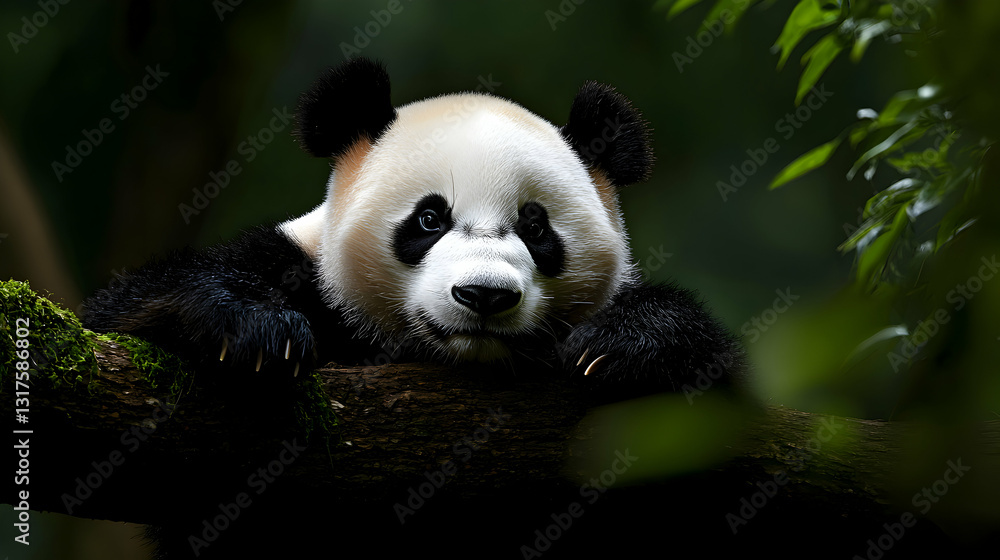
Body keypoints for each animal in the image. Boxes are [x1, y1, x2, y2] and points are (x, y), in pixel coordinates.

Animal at [83, 57, 745, 393]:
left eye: (536, 228)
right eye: (429, 218)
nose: (484, 295)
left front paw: (619, 346)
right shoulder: (297, 267)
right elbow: (122, 315)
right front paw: (257, 330)